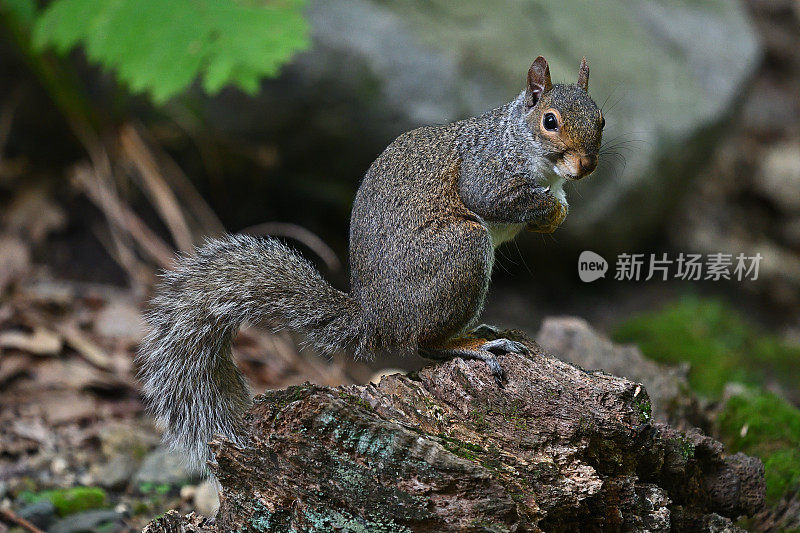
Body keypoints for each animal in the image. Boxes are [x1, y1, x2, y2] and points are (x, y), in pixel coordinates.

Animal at [138, 56, 604, 472]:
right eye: (550, 121)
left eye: (600, 120)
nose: (585, 167)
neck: (519, 139)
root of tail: (378, 317)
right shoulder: (487, 172)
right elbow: (491, 198)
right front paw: (551, 211)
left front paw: (557, 211)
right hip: (462, 250)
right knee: (426, 344)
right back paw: (474, 345)